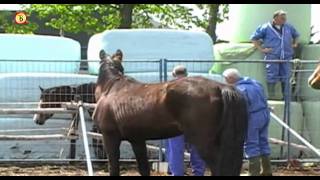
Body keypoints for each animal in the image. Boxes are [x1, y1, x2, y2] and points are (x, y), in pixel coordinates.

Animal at [92, 50, 248, 176]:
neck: (111, 89)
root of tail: (221, 87)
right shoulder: (137, 139)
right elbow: (144, 169)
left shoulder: (110, 137)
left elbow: (114, 168)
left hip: (205, 142)